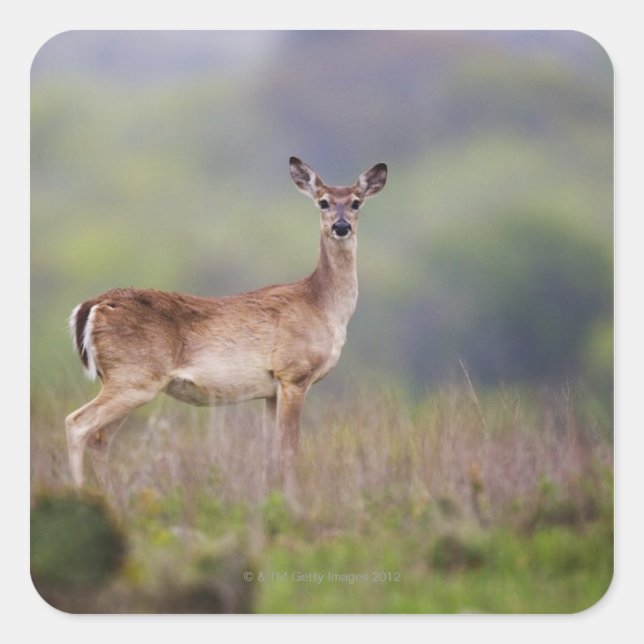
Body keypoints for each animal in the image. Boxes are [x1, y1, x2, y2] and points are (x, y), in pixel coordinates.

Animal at [65, 157, 387, 490]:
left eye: (356, 202)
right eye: (322, 202)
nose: (341, 226)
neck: (323, 305)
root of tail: (93, 305)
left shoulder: (271, 390)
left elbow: (270, 454)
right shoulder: (293, 374)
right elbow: (289, 451)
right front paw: (292, 498)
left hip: (126, 381)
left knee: (100, 438)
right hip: (133, 377)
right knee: (77, 424)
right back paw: (78, 490)